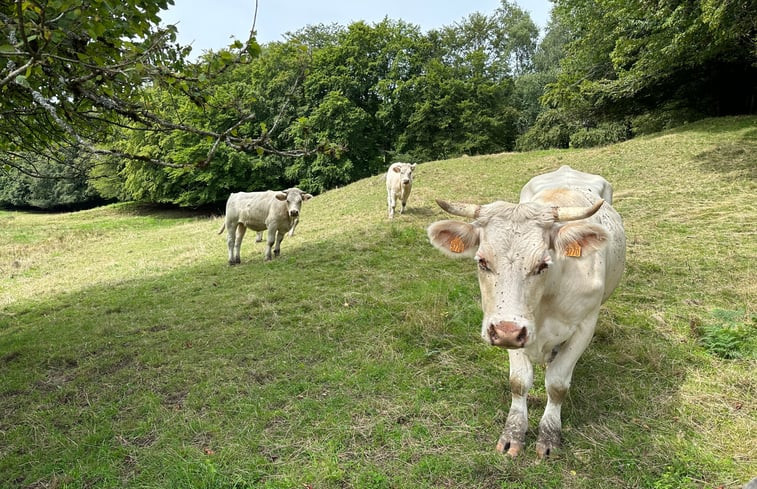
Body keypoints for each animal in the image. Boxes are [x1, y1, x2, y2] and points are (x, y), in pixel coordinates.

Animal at [426, 167, 628, 458]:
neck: (544, 304)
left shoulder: (584, 326)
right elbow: (519, 382)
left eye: (543, 264)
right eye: (482, 261)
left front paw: (549, 435)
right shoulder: (511, 328)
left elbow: (557, 384)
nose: (506, 332)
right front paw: (513, 433)